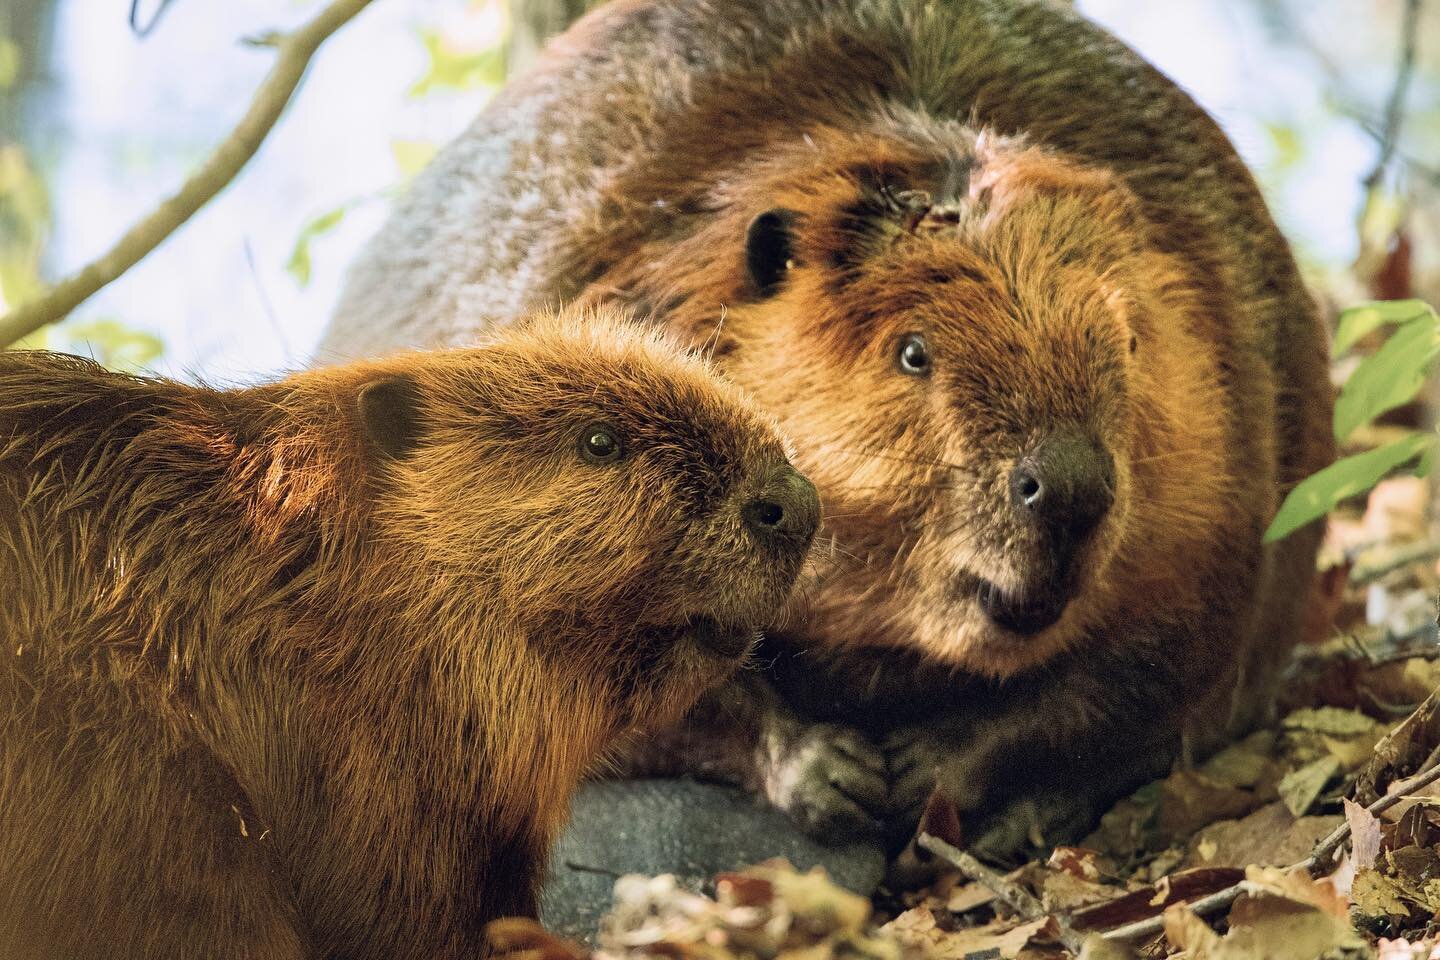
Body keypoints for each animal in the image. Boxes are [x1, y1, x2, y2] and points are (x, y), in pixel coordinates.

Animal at [321, 0, 1330, 857]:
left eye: (1127, 337)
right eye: (913, 351)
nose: (1071, 484)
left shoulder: (1230, 427)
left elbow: (1166, 650)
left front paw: (933, 769)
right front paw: (830, 770)